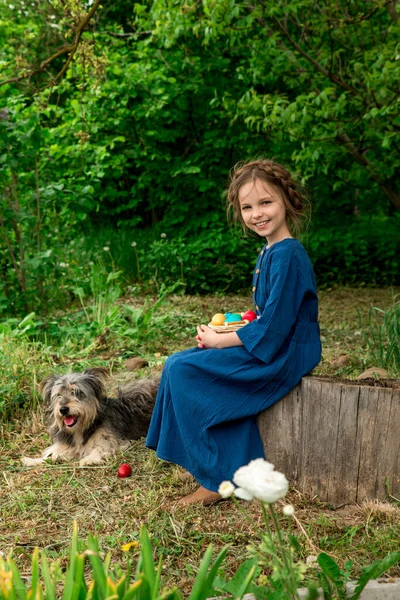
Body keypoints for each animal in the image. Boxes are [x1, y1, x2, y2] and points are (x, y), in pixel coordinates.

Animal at [21, 366, 159, 468]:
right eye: (58, 395)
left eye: (77, 392)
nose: (63, 409)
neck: (80, 428)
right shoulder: (66, 445)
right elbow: (50, 454)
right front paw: (32, 460)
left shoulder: (111, 439)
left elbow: (102, 448)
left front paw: (90, 459)